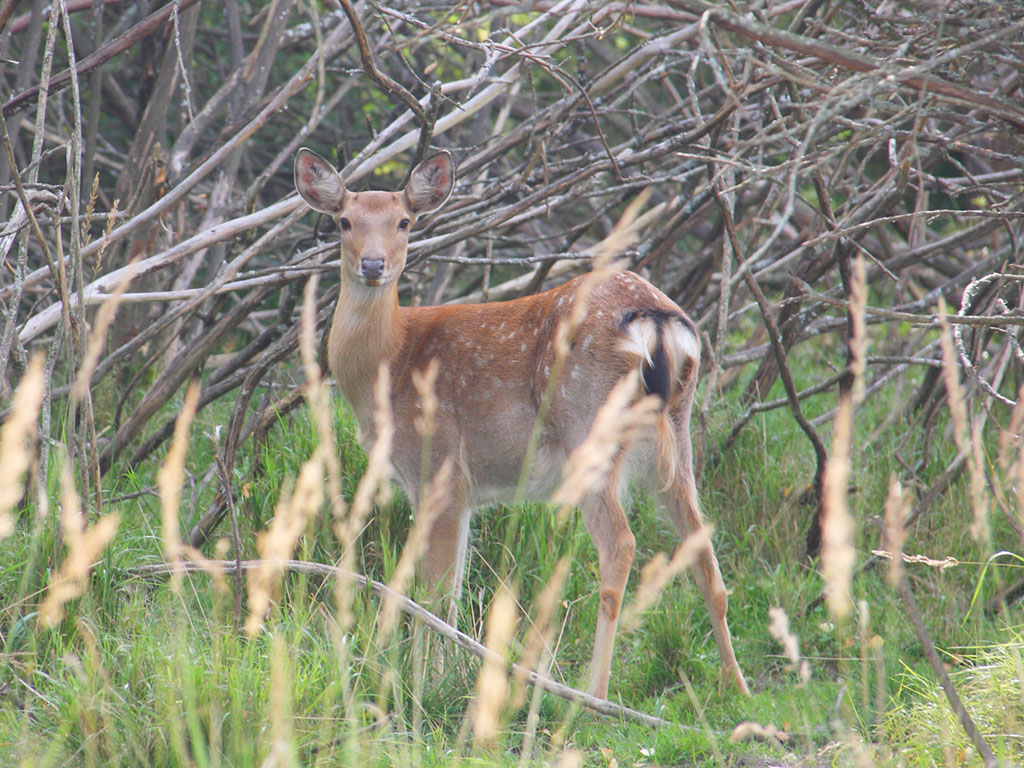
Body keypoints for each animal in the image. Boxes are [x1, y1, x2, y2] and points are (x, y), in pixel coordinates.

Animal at [292, 147, 749, 700]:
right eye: (344, 221)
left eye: (405, 221)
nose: (374, 264)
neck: (390, 362)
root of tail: (656, 321)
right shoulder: (465, 491)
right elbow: (454, 583)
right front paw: (446, 674)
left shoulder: (439, 467)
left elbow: (435, 591)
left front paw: (427, 683)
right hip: (676, 436)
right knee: (704, 551)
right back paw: (738, 689)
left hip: (586, 424)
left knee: (620, 543)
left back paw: (592, 694)